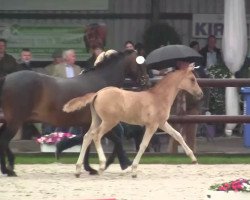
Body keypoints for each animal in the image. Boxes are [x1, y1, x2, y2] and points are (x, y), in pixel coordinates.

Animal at [0, 49, 148, 176]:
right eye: (140, 62)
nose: (146, 80)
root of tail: (6, 79)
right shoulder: (103, 123)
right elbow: (115, 140)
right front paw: (120, 164)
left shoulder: (88, 124)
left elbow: (86, 143)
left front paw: (89, 168)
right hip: (15, 121)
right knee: (4, 140)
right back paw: (8, 170)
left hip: (9, 121)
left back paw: (10, 166)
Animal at [63, 63, 202, 178]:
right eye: (192, 79)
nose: (200, 94)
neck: (158, 98)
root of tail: (97, 93)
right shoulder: (152, 125)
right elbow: (143, 145)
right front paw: (134, 170)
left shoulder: (162, 123)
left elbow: (178, 135)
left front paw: (193, 159)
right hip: (109, 122)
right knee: (96, 135)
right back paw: (101, 166)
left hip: (97, 120)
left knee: (87, 137)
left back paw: (78, 170)